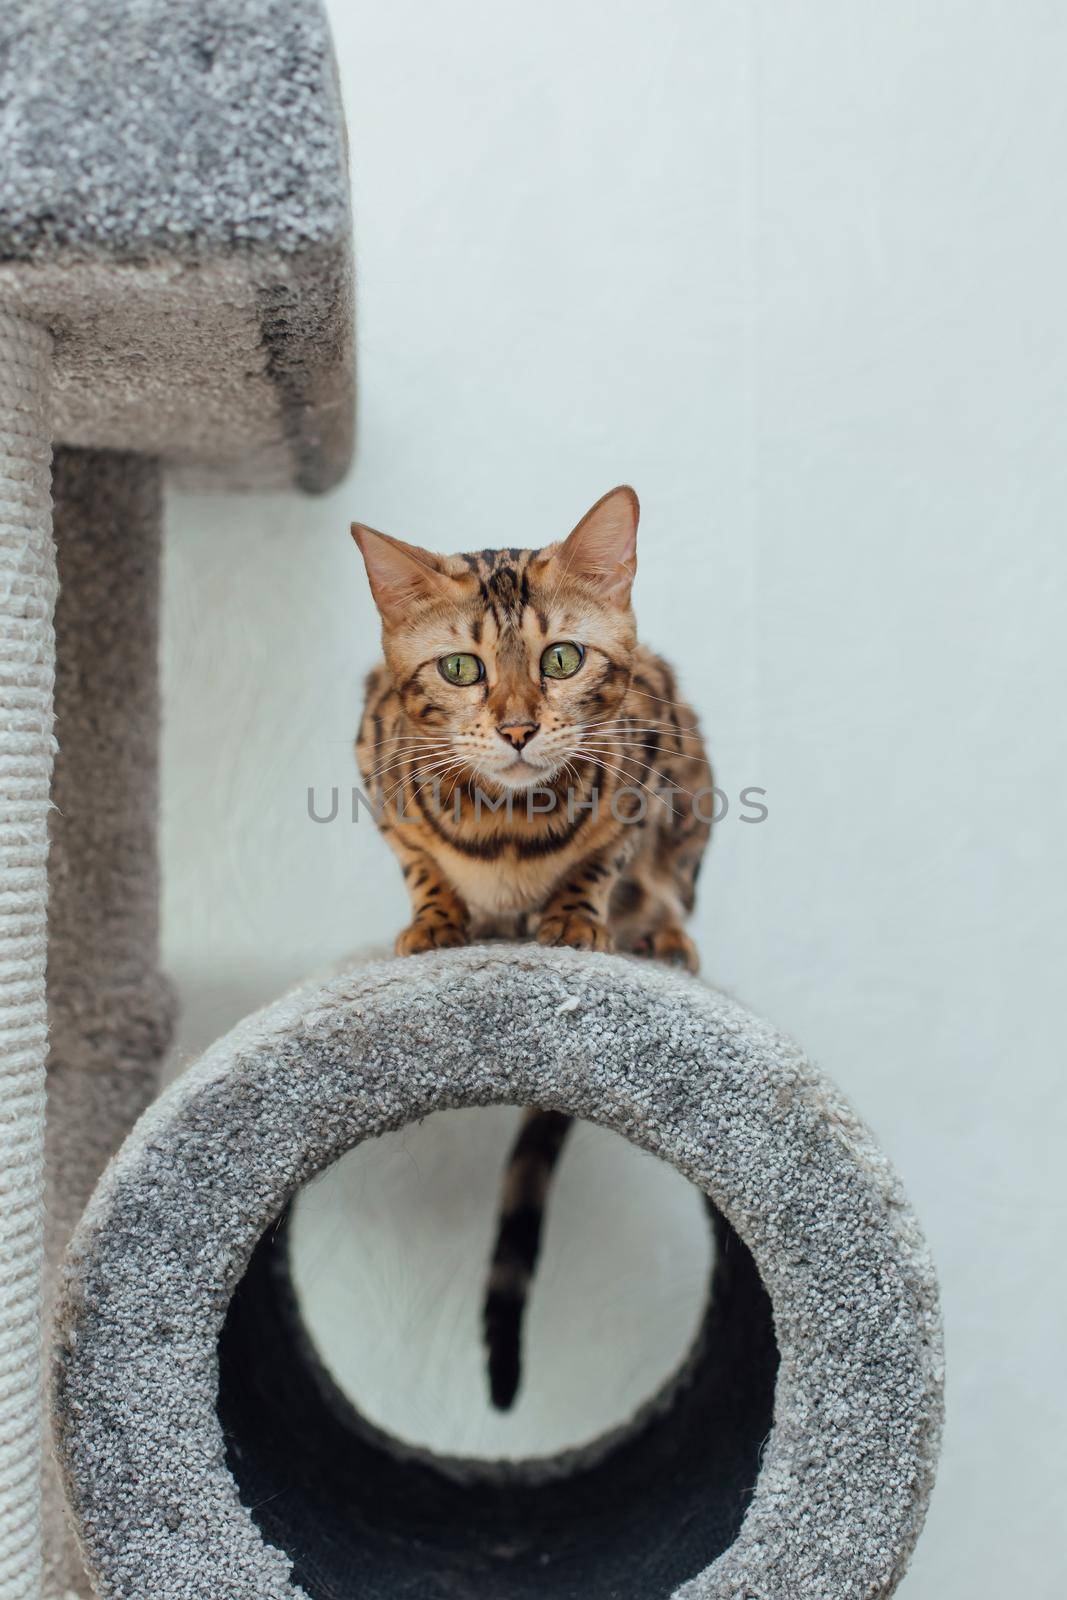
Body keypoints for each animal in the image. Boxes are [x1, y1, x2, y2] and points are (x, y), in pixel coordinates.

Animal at [355, 489, 713, 1414]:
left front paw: (576, 919)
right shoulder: (375, 763)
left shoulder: (647, 756)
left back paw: (660, 934)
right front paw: (435, 919)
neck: (508, 831)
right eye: (458, 669)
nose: (516, 727)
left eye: (561, 659)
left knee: (669, 885)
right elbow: (419, 858)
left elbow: (603, 855)